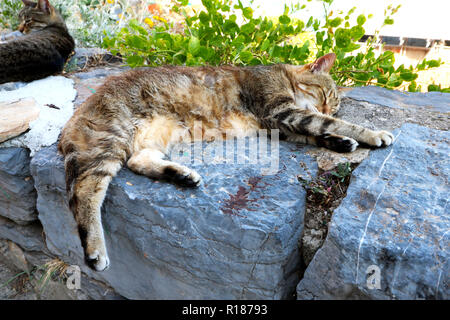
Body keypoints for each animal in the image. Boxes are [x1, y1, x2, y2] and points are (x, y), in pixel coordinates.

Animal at [59, 52, 394, 270]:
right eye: (325, 95)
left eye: (333, 103)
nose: (327, 106)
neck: (283, 76)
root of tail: (73, 119)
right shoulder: (282, 113)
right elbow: (330, 124)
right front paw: (372, 133)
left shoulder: (281, 126)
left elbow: (321, 131)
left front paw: (340, 141)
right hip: (110, 143)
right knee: (86, 193)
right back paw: (94, 249)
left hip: (153, 137)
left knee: (138, 162)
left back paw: (181, 175)